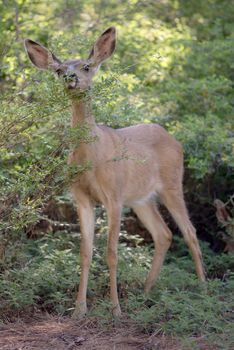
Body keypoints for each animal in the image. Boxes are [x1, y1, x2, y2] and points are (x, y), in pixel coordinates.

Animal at [24, 26, 206, 318]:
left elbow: (111, 252)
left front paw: (115, 308)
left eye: (86, 66)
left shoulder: (114, 196)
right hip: (142, 199)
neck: (92, 156)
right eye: (59, 69)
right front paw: (79, 309)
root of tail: (174, 139)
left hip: (171, 184)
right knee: (164, 234)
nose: (71, 79)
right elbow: (85, 252)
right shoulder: (82, 198)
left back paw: (203, 289)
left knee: (189, 231)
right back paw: (145, 292)